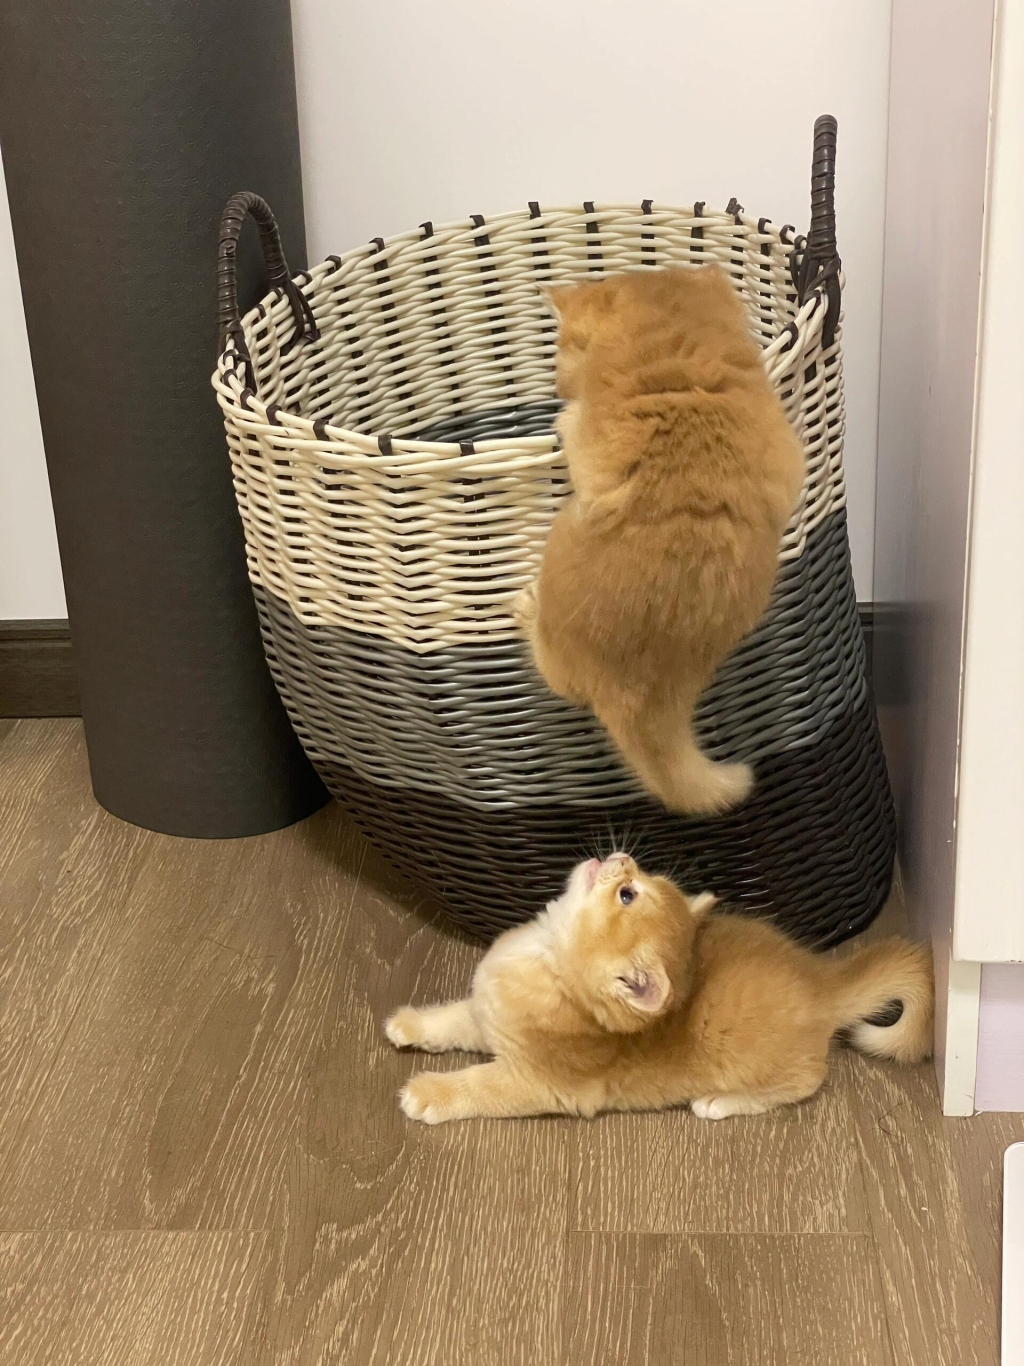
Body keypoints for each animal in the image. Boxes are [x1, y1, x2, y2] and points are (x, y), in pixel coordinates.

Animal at [385, 854, 933, 1124]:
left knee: (805, 1083)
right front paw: (408, 1024)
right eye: (635, 881)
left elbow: (477, 1086)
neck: (544, 953)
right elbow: (449, 1018)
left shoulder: (538, 1081)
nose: (623, 856)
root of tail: (822, 979)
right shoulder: (487, 1015)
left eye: (628, 893)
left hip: (773, 1073)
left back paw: (718, 1104)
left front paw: (428, 1094)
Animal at [514, 264, 805, 814]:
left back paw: (525, 606)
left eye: (561, 349)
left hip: (560, 541)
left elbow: (572, 426)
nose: (558, 387)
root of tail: (638, 697)